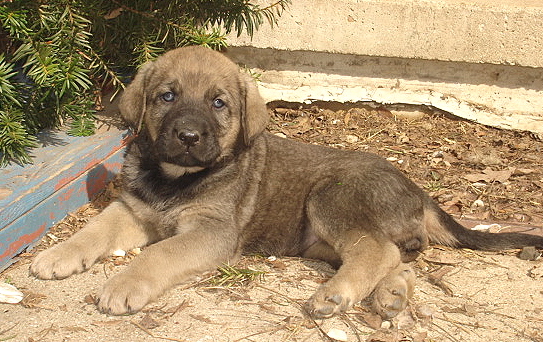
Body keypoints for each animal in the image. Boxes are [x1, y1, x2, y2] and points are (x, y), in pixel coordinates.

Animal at [30, 45, 543, 318]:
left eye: (218, 103)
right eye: (167, 97)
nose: (189, 136)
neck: (175, 181)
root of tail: (419, 191)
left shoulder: (211, 232)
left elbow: (159, 254)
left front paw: (124, 285)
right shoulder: (133, 208)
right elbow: (93, 229)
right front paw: (58, 256)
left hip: (331, 199)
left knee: (378, 250)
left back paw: (336, 294)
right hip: (327, 239)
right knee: (394, 257)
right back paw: (391, 294)